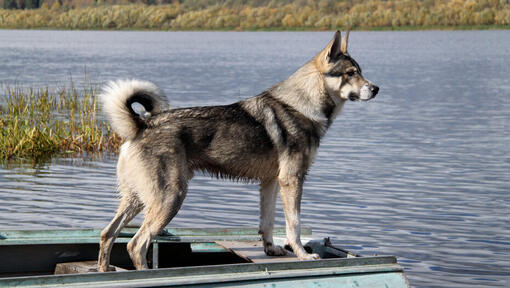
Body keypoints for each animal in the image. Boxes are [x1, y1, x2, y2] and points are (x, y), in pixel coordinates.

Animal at [96, 30, 378, 272]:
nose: (376, 89)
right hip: (170, 198)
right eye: (351, 73)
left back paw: (105, 269)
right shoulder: (292, 180)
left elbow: (267, 222)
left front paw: (271, 249)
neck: (303, 103)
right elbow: (294, 225)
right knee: (137, 243)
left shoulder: (270, 182)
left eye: (360, 72)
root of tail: (141, 125)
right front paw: (303, 255)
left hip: (137, 199)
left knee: (108, 233)